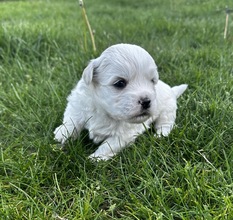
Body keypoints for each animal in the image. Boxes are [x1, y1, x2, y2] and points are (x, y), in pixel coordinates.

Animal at [53, 43, 187, 160]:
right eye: (120, 83)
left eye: (152, 81)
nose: (146, 101)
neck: (104, 111)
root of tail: (172, 90)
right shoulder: (79, 104)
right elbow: (72, 120)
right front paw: (61, 134)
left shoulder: (124, 134)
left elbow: (109, 145)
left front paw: (96, 158)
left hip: (167, 111)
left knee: (165, 124)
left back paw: (160, 135)